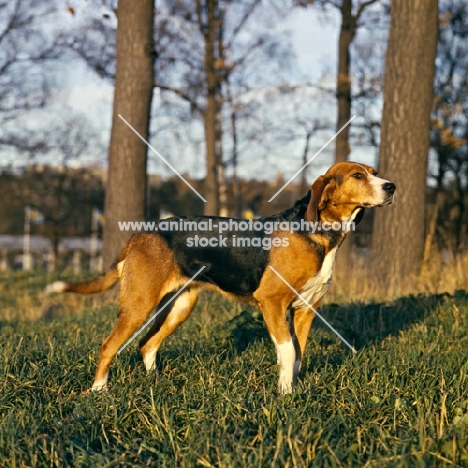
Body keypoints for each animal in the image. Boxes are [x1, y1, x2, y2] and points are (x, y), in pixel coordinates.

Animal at [44, 163, 394, 394]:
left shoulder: (305, 310)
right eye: (358, 175)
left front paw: (291, 390)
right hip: (139, 305)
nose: (391, 186)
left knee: (146, 344)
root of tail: (141, 233)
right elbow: (288, 351)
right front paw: (285, 396)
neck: (318, 233)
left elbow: (297, 355)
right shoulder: (272, 304)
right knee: (109, 345)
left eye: (374, 171)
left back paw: (154, 382)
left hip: (180, 307)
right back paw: (99, 391)